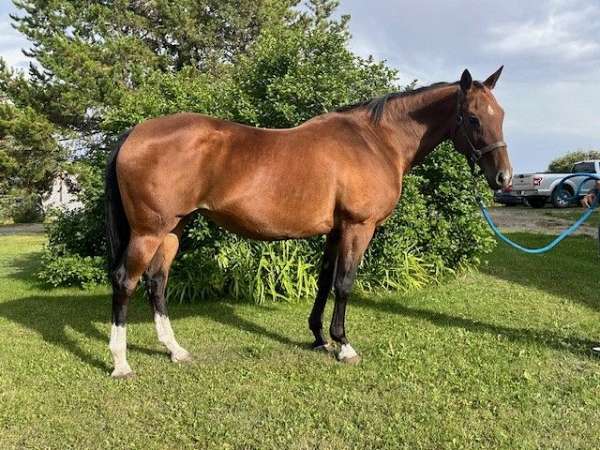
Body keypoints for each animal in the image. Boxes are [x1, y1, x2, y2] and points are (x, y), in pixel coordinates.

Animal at [105, 66, 512, 376]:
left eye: (502, 115)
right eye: (473, 117)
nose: (504, 178)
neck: (375, 141)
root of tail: (134, 133)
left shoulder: (335, 230)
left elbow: (324, 281)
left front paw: (319, 337)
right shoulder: (358, 227)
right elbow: (345, 284)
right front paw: (344, 344)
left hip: (173, 230)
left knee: (157, 284)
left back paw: (175, 350)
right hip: (149, 231)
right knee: (126, 282)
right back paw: (121, 363)